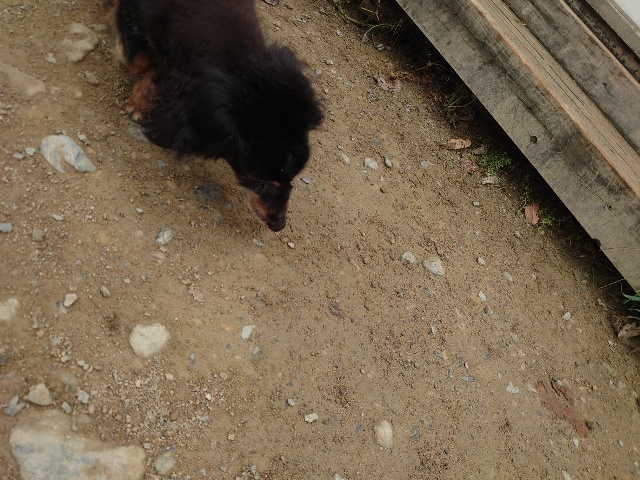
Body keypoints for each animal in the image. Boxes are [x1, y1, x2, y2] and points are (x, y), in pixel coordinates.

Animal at [105, 0, 323, 231]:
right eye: (263, 182)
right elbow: (136, 61)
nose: (279, 225)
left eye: (292, 179)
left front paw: (143, 99)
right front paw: (137, 96)